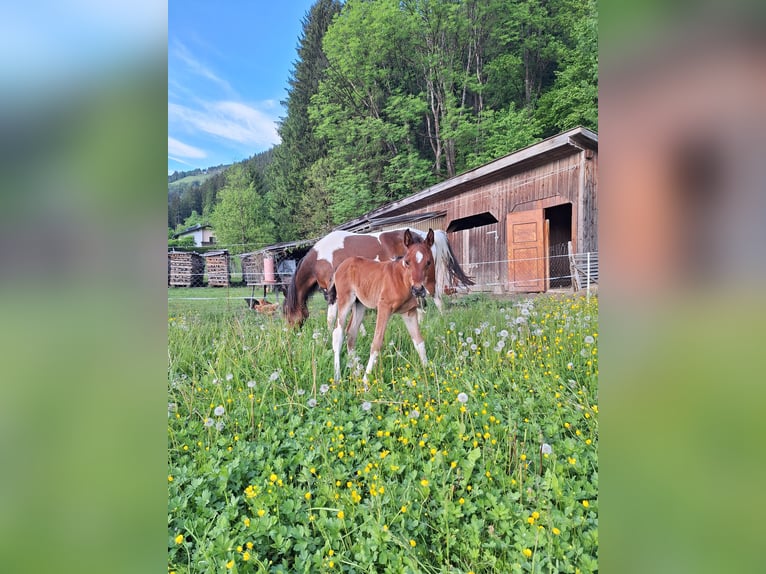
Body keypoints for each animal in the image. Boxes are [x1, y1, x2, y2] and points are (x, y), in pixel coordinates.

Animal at [284, 230, 474, 328]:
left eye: (287, 315)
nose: (292, 334)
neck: (320, 258)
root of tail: (422, 236)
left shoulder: (332, 293)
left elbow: (331, 319)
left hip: (428, 282)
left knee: (437, 300)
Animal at [332, 227, 436, 384]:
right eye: (407, 262)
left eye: (428, 262)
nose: (418, 289)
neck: (402, 280)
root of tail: (342, 264)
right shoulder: (384, 307)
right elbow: (376, 343)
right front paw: (366, 382)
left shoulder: (409, 312)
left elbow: (419, 341)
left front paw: (428, 373)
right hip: (345, 300)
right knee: (338, 333)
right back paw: (338, 377)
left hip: (359, 304)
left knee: (351, 333)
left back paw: (355, 372)